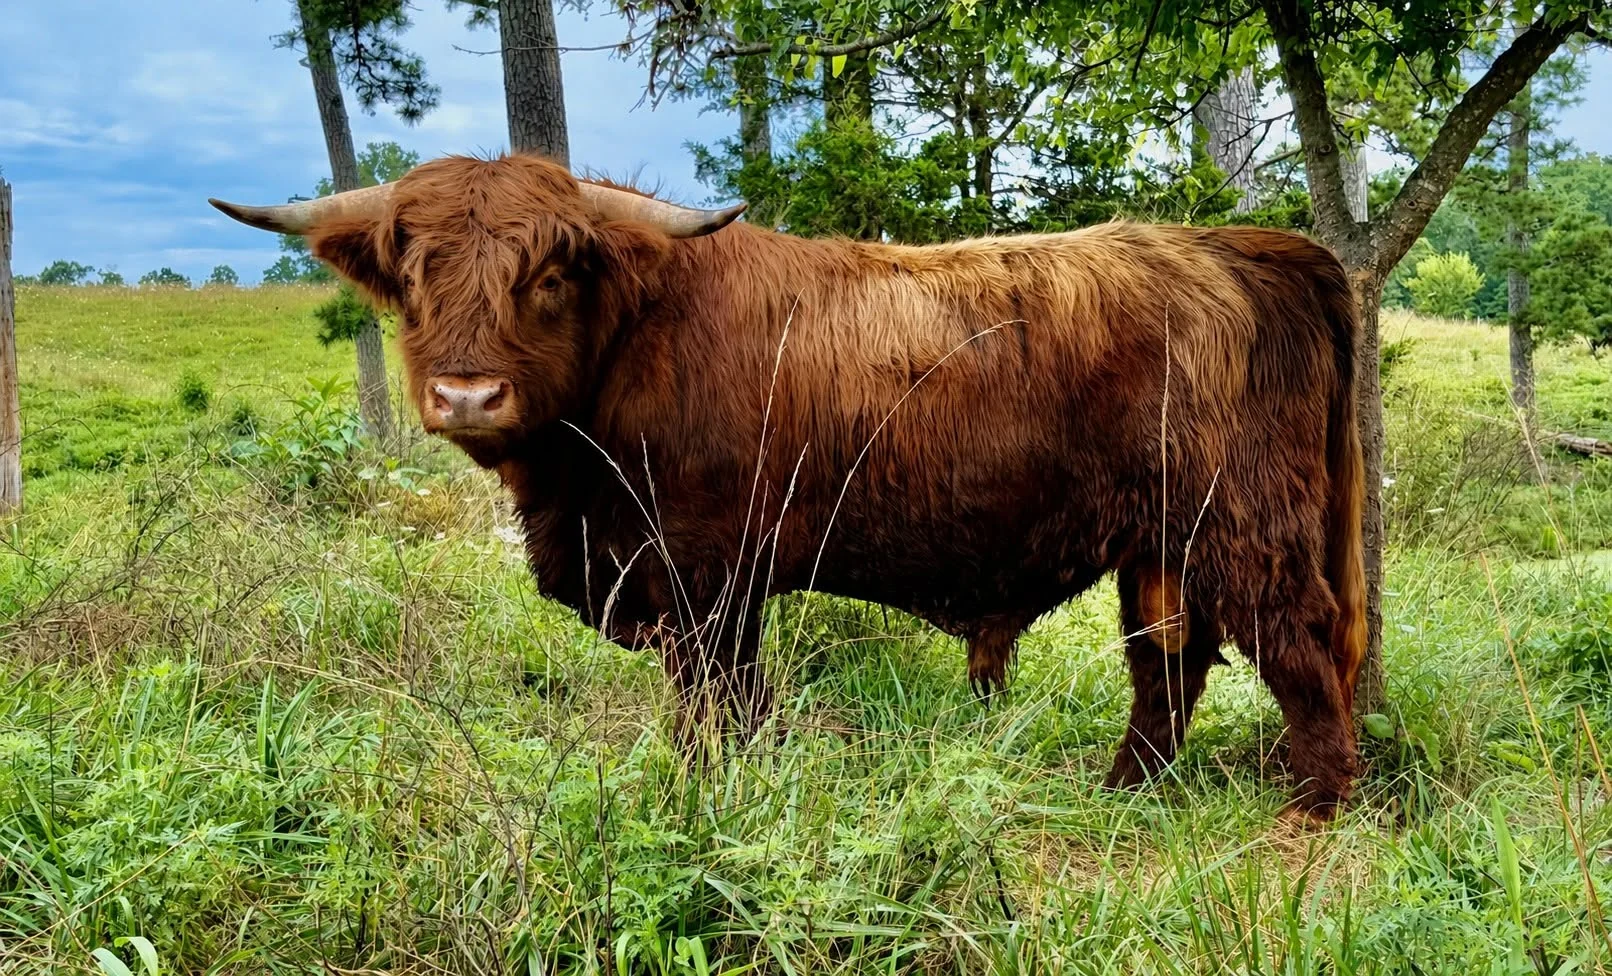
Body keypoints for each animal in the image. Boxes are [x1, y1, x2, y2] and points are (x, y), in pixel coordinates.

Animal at [211, 153, 1367, 818]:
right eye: (412, 273)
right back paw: (1125, 793)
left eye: (549, 273)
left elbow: (718, 703)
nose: (465, 394)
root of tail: (1242, 246)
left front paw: (708, 797)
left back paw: (1312, 806)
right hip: (1157, 544)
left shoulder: (703, 573)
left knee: (1297, 644)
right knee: (1168, 663)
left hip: (1244, 525)